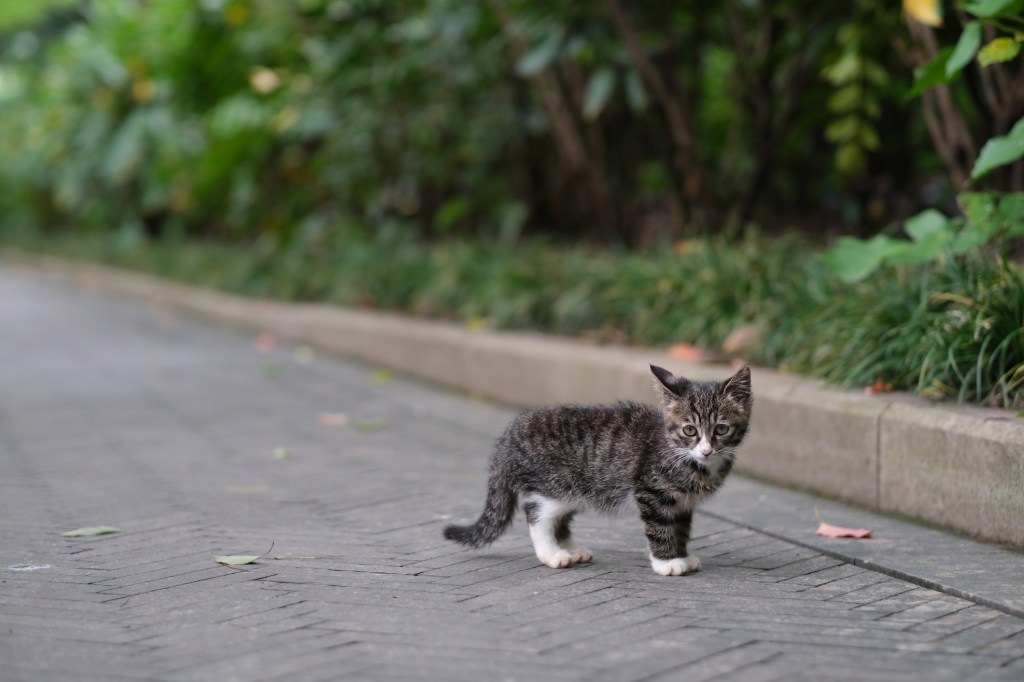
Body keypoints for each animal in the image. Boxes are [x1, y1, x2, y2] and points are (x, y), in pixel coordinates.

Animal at [442, 364, 753, 569]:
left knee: (559, 519)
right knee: (536, 514)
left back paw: (570, 549)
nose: (706, 449)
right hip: (554, 485)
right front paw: (667, 562)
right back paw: (553, 554)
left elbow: (681, 528)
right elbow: (660, 527)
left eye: (721, 429)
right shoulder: (651, 491)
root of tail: (507, 436)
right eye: (690, 430)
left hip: (576, 489)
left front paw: (682, 555)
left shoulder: (683, 503)